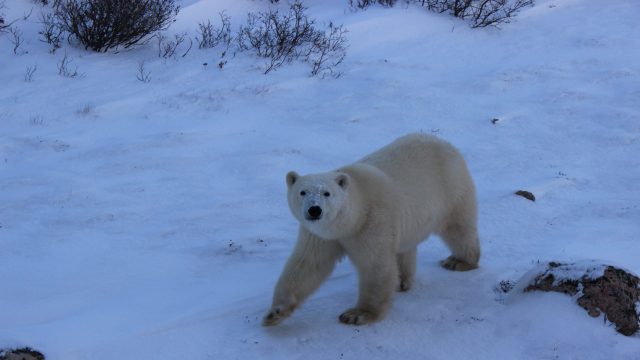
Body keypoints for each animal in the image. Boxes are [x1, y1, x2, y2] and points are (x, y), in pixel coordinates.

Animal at [262, 134, 480, 328]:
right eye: (302, 192)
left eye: (327, 193)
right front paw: (275, 312)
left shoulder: (373, 221)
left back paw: (459, 261)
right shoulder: (321, 234)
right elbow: (307, 264)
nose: (314, 210)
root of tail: (445, 143)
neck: (353, 217)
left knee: (459, 228)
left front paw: (357, 314)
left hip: (451, 190)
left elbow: (375, 265)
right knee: (405, 246)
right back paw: (402, 281)